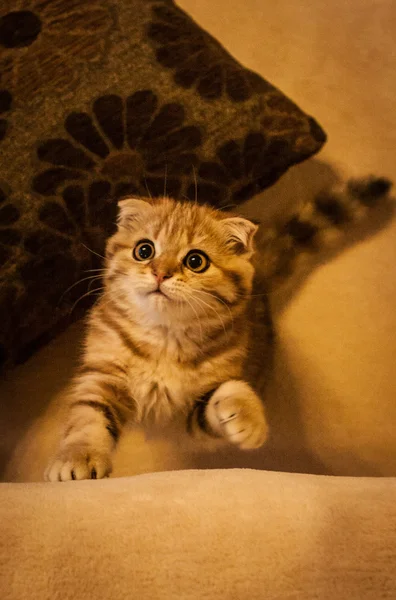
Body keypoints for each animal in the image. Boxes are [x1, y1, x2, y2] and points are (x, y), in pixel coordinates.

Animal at [44, 176, 392, 480]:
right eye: (144, 251)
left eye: (195, 261)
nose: (160, 273)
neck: (165, 338)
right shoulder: (104, 371)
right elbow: (89, 417)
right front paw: (78, 457)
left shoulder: (197, 409)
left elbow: (223, 396)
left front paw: (246, 416)